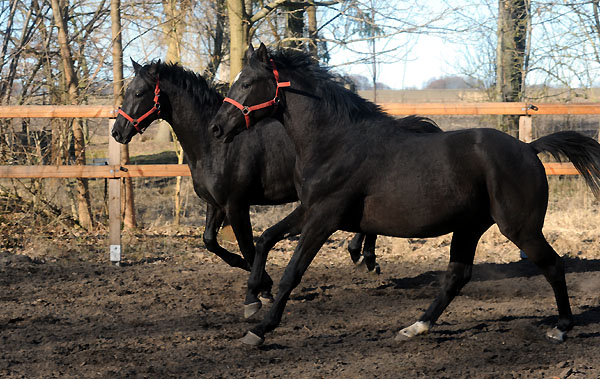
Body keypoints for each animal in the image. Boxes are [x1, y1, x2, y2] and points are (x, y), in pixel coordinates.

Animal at [112, 60, 438, 300]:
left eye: (139, 93)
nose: (117, 132)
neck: (214, 144)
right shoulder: (215, 205)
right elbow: (210, 242)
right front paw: (255, 277)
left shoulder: (236, 205)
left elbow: (248, 245)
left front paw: (263, 287)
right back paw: (365, 256)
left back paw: (363, 256)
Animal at [209, 44, 600, 348]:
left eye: (246, 83)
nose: (216, 127)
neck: (335, 142)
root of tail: (530, 149)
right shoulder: (310, 209)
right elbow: (265, 240)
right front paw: (253, 299)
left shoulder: (324, 217)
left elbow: (293, 272)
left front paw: (260, 330)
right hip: (469, 227)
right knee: (457, 276)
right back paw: (414, 327)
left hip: (520, 228)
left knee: (553, 265)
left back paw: (561, 329)